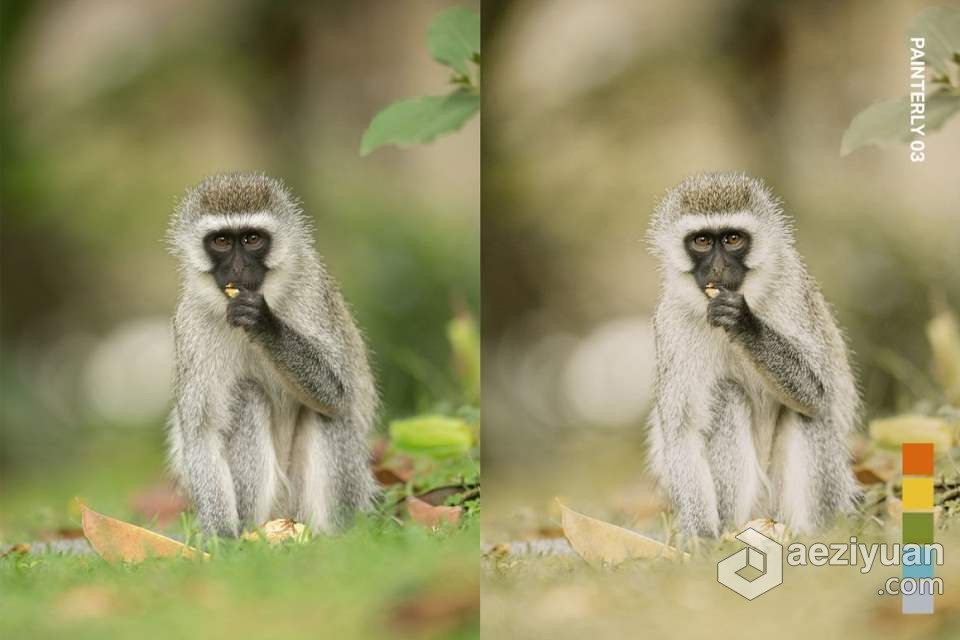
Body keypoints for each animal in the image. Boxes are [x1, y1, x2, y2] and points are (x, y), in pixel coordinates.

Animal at [167, 171, 376, 536]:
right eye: (222, 241)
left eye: (252, 239)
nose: (238, 269)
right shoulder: (192, 325)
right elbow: (202, 432)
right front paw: (222, 538)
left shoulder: (311, 292)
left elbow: (338, 391)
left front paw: (266, 324)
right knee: (247, 397)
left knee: (330, 413)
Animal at [648, 171, 860, 536]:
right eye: (702, 241)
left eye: (732, 239)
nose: (718, 268)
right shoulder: (672, 324)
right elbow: (683, 433)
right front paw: (701, 538)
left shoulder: (791, 290)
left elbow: (818, 391)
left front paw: (746, 325)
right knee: (726, 397)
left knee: (810, 414)